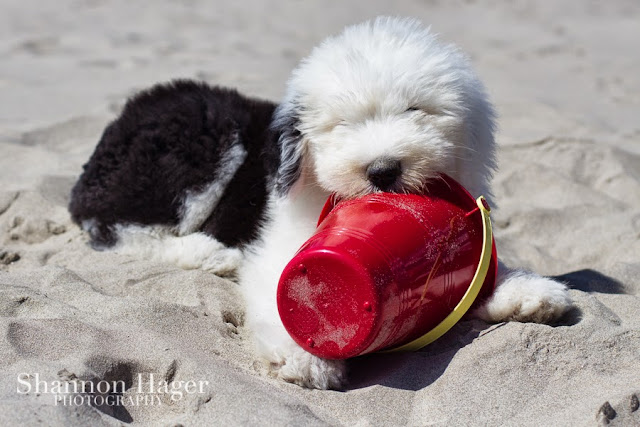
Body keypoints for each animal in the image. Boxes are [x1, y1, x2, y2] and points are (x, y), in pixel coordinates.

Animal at [69, 16, 568, 392]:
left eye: (415, 111)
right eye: (340, 124)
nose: (382, 170)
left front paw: (528, 293)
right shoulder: (278, 248)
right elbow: (289, 295)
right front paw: (304, 356)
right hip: (198, 143)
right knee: (117, 228)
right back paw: (207, 253)